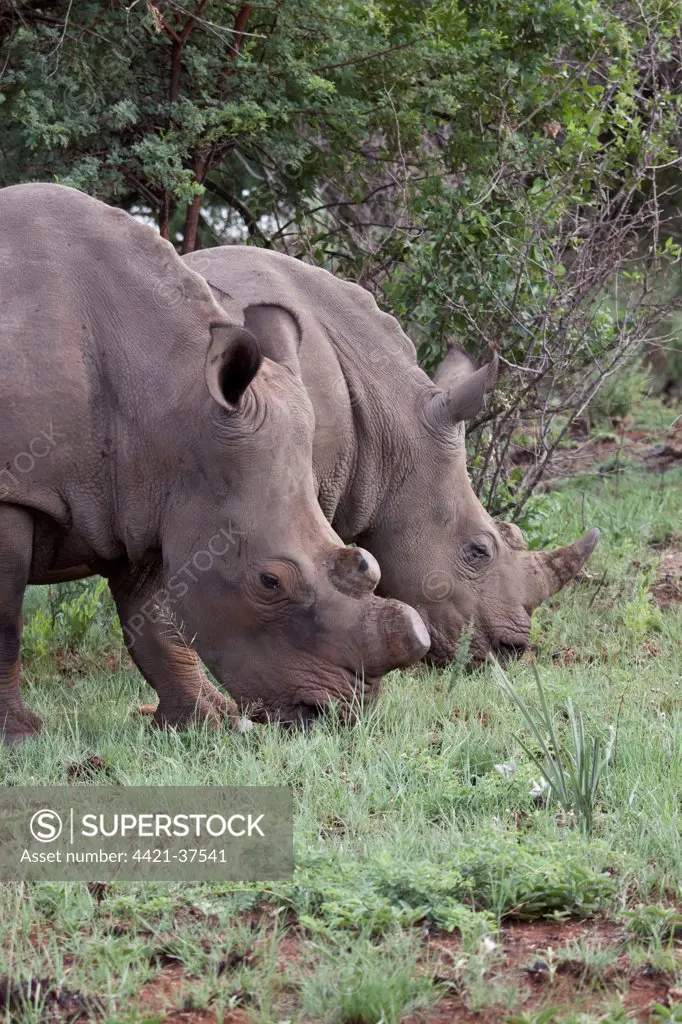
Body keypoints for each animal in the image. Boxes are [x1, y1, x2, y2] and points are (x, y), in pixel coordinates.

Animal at [0, 184, 425, 741]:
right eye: (269, 582)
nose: (339, 715)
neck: (167, 395)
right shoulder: (14, 490)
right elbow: (5, 623)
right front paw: (20, 737)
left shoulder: (148, 492)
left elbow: (155, 621)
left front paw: (204, 722)